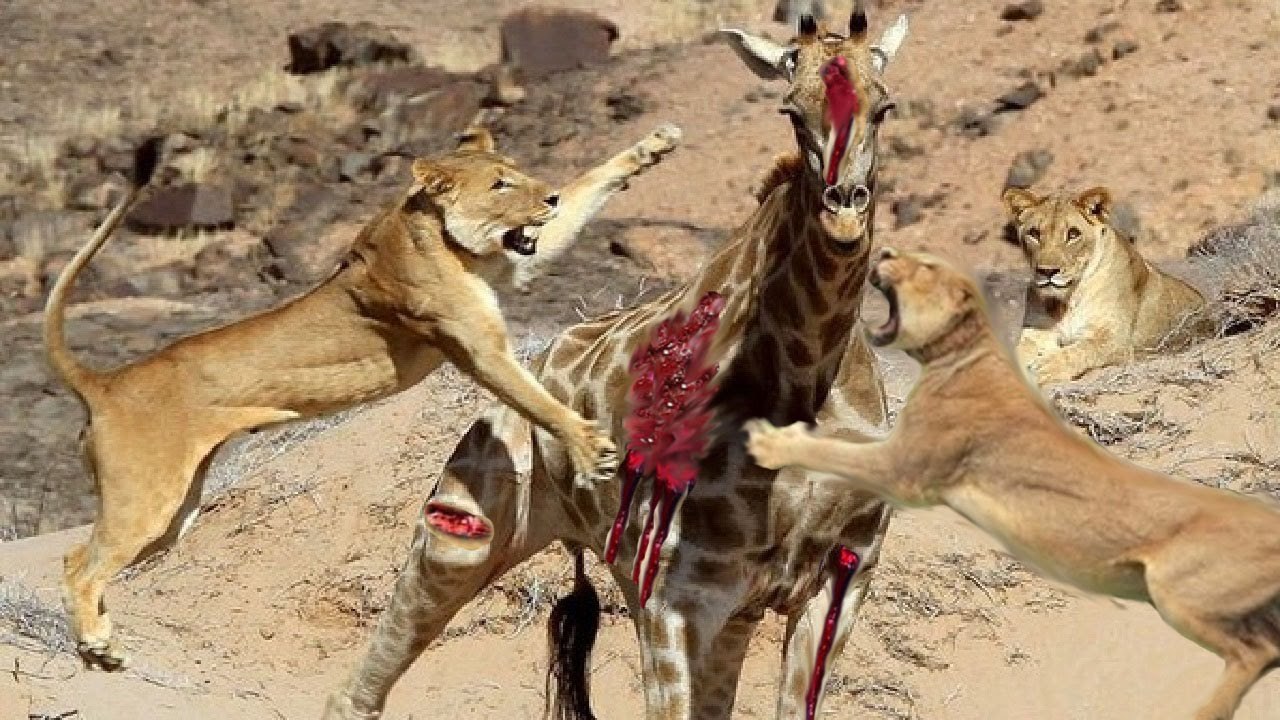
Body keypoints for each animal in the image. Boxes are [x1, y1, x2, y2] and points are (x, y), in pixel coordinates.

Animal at [44, 123, 682, 670]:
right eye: (501, 184)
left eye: (520, 173)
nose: (544, 197)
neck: (439, 235)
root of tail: (104, 384)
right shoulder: (477, 350)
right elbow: (539, 402)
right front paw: (590, 446)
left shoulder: (511, 271)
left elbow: (586, 188)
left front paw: (651, 147)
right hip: (147, 498)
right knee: (78, 565)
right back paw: (97, 643)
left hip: (175, 516)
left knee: (94, 565)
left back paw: (101, 650)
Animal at [745, 247, 1280, 720]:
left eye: (925, 267)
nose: (886, 254)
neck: (959, 353)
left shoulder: (905, 467)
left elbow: (836, 451)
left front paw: (773, 442)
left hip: (1180, 593)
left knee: (1254, 649)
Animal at [1002, 186, 1214, 385]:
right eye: (1034, 233)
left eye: (1073, 234)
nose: (1047, 272)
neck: (1068, 301)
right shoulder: (1036, 333)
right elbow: (1019, 351)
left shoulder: (1116, 342)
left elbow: (1081, 350)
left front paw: (1046, 367)